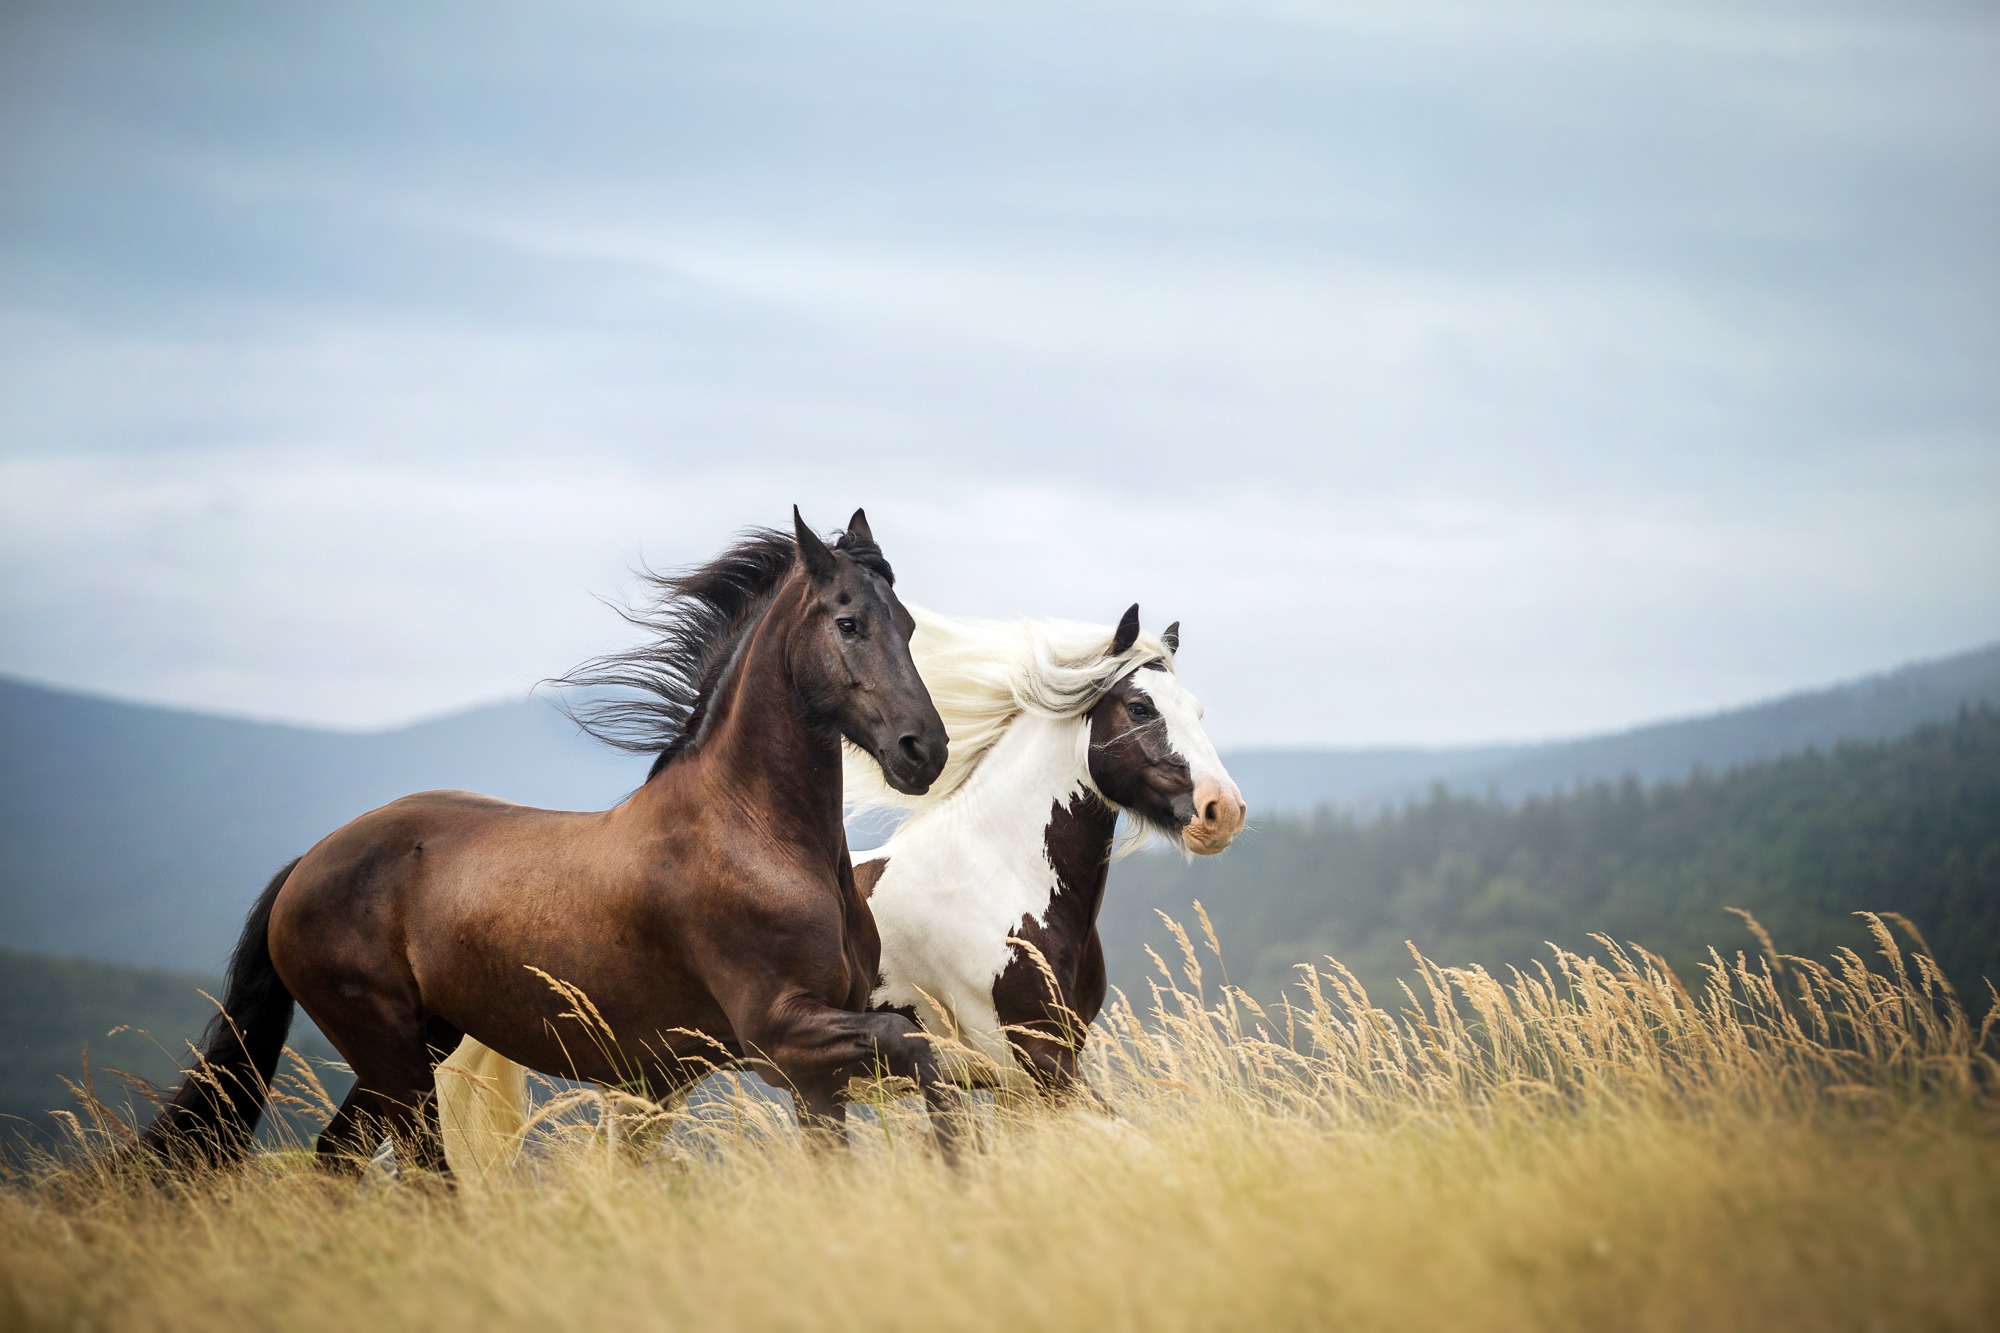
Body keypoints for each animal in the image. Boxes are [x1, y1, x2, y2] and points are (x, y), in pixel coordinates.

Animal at [141, 507, 960, 1175]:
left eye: (910, 625)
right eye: (849, 623)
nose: (924, 751)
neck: (756, 834)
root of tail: (307, 864)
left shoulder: (818, 1074)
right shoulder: (782, 1035)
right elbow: (924, 1050)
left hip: (416, 1047)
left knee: (337, 1158)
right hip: (390, 1052)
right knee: (423, 1173)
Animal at [437, 602, 1243, 1169]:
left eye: (1201, 712)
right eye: (1140, 708)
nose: (1221, 811)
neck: (998, 876)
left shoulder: (1036, 1076)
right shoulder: (1028, 1065)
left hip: (652, 1083)